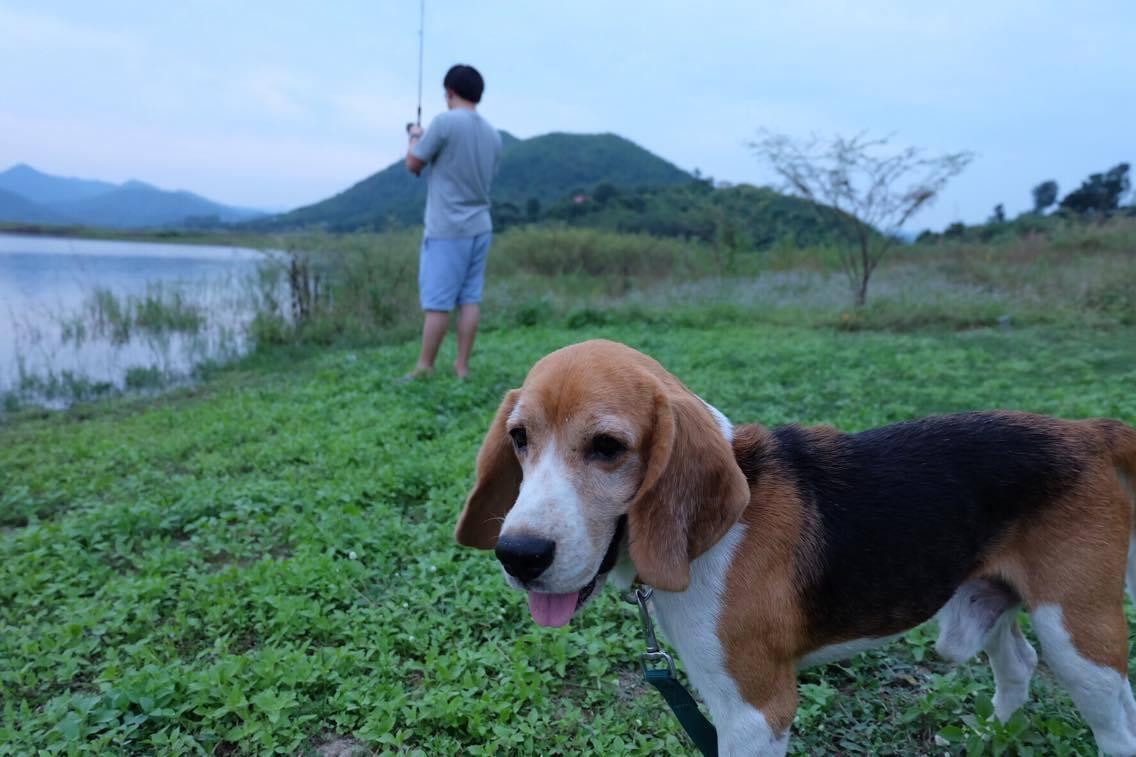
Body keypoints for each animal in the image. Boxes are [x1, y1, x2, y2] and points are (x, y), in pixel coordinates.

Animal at [456, 338, 1136, 750]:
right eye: (519, 437)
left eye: (607, 447)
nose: (519, 555)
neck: (713, 536)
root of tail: (1092, 433)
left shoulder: (756, 714)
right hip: (988, 596)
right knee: (1017, 665)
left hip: (1077, 633)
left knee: (1115, 721)